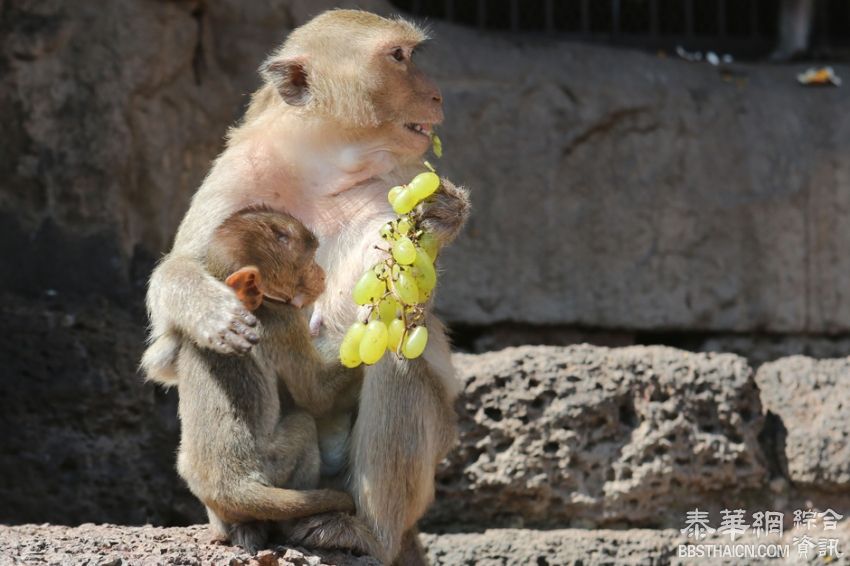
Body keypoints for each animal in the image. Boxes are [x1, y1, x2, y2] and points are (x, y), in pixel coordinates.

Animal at [169, 207, 358, 556]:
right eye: (307, 260)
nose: (321, 273)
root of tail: (234, 485)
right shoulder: (283, 321)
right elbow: (317, 396)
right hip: (274, 465)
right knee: (303, 422)